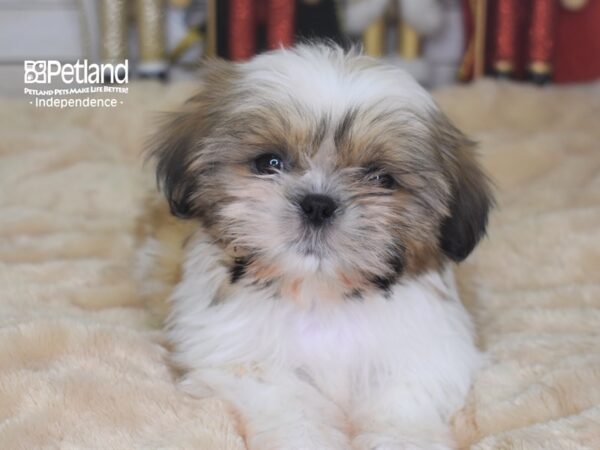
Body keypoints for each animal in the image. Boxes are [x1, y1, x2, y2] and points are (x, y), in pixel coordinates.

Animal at [146, 43, 492, 450]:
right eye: (269, 162)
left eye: (381, 179)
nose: (318, 204)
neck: (321, 295)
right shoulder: (238, 358)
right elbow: (292, 402)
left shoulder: (425, 357)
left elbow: (401, 405)